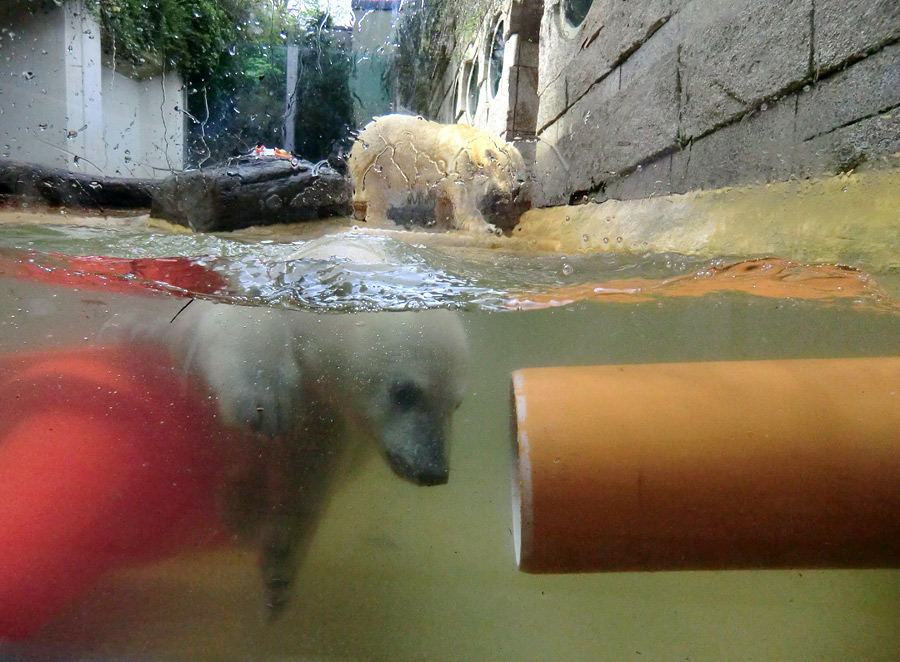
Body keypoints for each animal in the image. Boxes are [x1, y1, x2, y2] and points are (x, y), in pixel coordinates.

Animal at [130, 239, 468, 624]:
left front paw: (278, 574)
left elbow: (305, 482)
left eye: (455, 403)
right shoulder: (262, 295)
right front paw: (268, 406)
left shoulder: (329, 422)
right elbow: (241, 326)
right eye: (404, 392)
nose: (433, 471)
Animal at [346, 114, 528, 236]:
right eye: (511, 171)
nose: (516, 189)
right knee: (379, 191)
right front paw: (490, 228)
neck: (469, 146)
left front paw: (444, 225)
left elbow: (444, 199)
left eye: (519, 171)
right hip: (379, 161)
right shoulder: (457, 167)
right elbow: (465, 202)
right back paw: (385, 222)